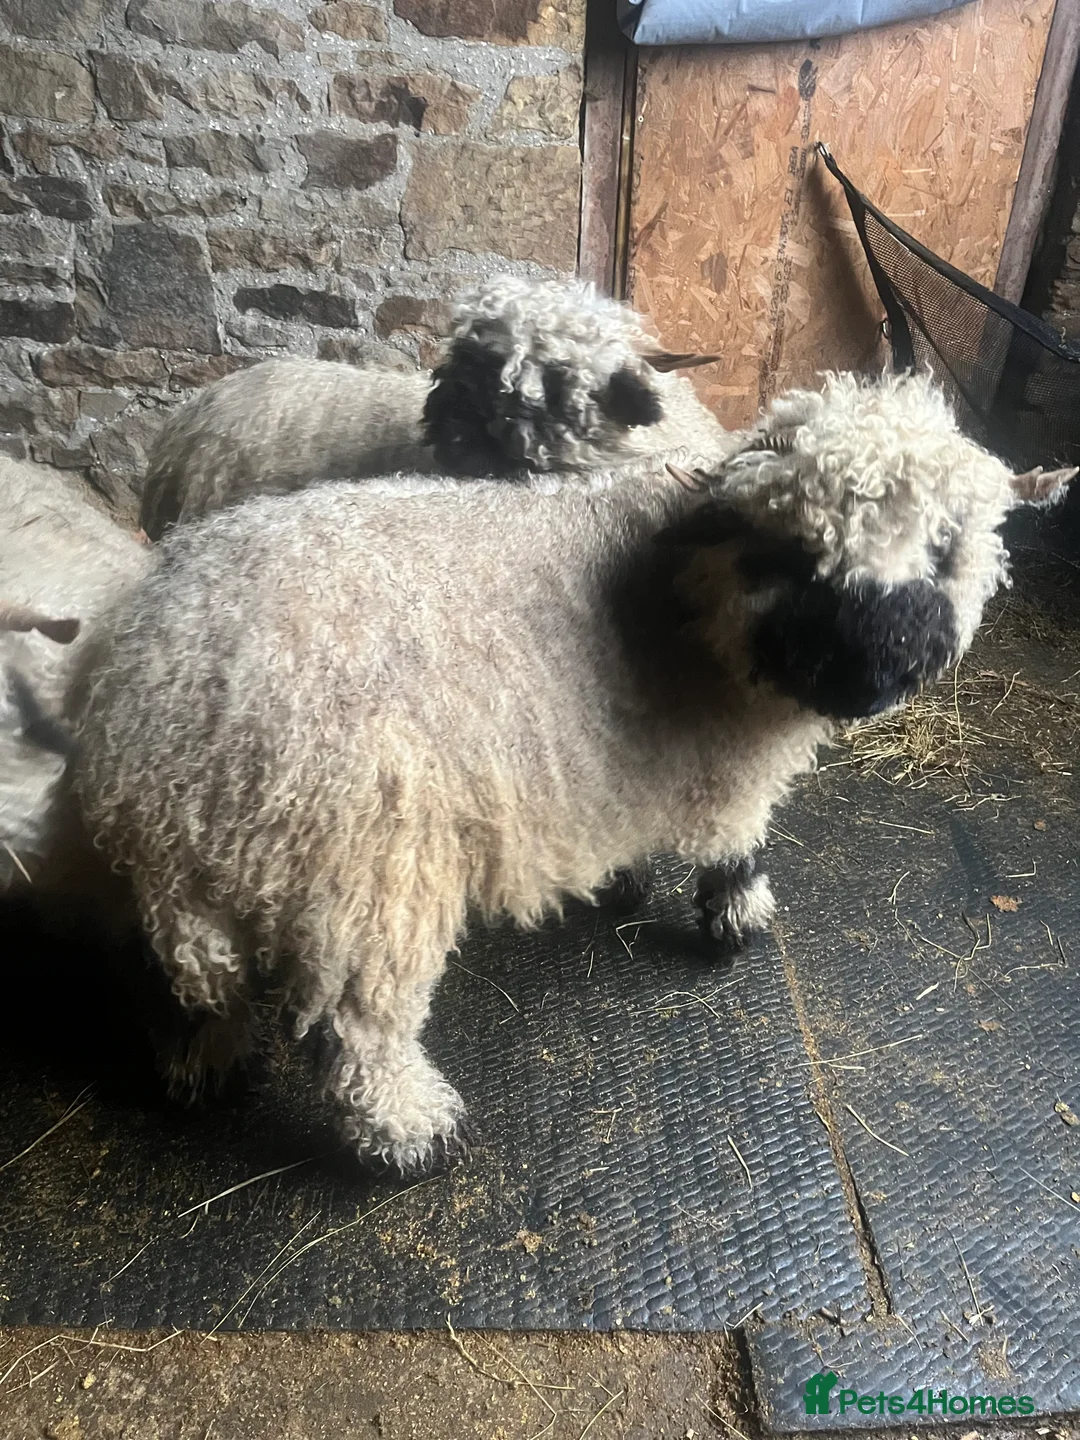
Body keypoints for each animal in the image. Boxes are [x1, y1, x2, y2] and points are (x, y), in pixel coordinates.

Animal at [75, 371, 1070, 1174]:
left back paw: (203, 1076)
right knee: (358, 1028)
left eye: (947, 546)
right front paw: (735, 921)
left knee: (190, 991)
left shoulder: (619, 760)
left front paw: (626, 885)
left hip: (198, 877)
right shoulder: (726, 762)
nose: (870, 674)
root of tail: (167, 698)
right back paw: (414, 1136)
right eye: (789, 550)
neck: (689, 584)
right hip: (364, 869)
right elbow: (735, 844)